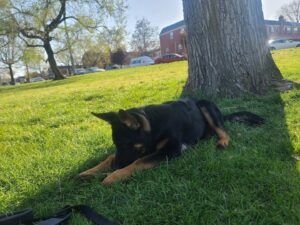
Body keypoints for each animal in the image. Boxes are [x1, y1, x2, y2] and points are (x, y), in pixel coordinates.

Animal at [79, 98, 262, 185]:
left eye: (126, 144)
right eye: (116, 144)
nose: (116, 166)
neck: (154, 125)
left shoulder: (171, 150)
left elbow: (139, 161)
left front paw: (113, 176)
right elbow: (109, 157)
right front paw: (90, 171)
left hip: (205, 105)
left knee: (224, 131)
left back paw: (222, 142)